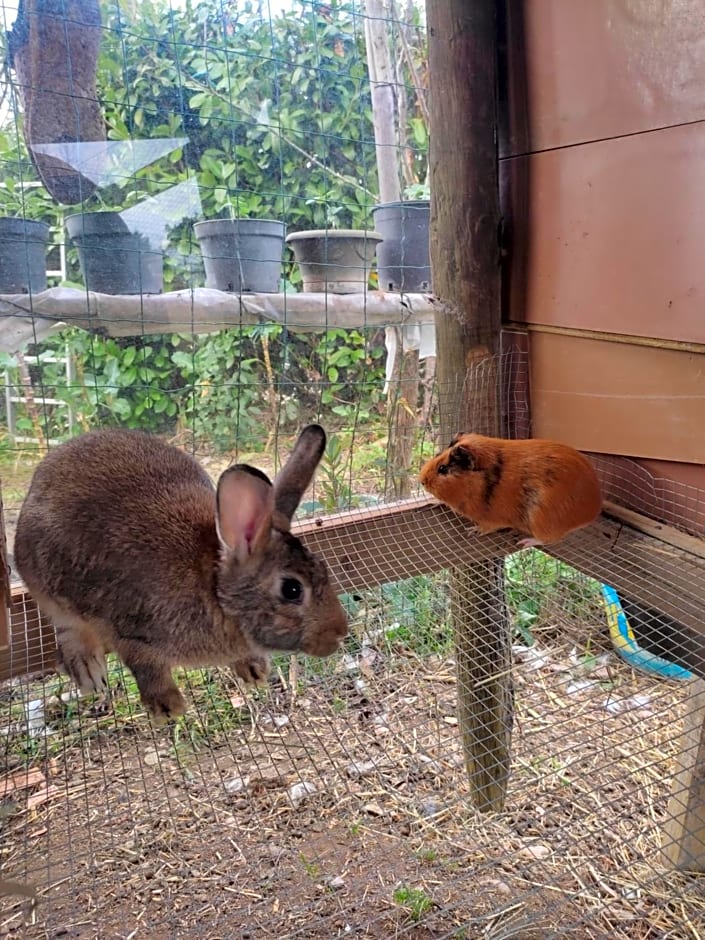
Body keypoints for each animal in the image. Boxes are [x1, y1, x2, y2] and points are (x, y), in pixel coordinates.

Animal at [15, 426, 348, 720]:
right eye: (292, 590)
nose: (340, 632)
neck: (215, 591)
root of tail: (37, 479)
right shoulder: (131, 631)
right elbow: (146, 666)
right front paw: (167, 707)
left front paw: (254, 670)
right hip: (46, 583)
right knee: (66, 627)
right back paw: (88, 670)